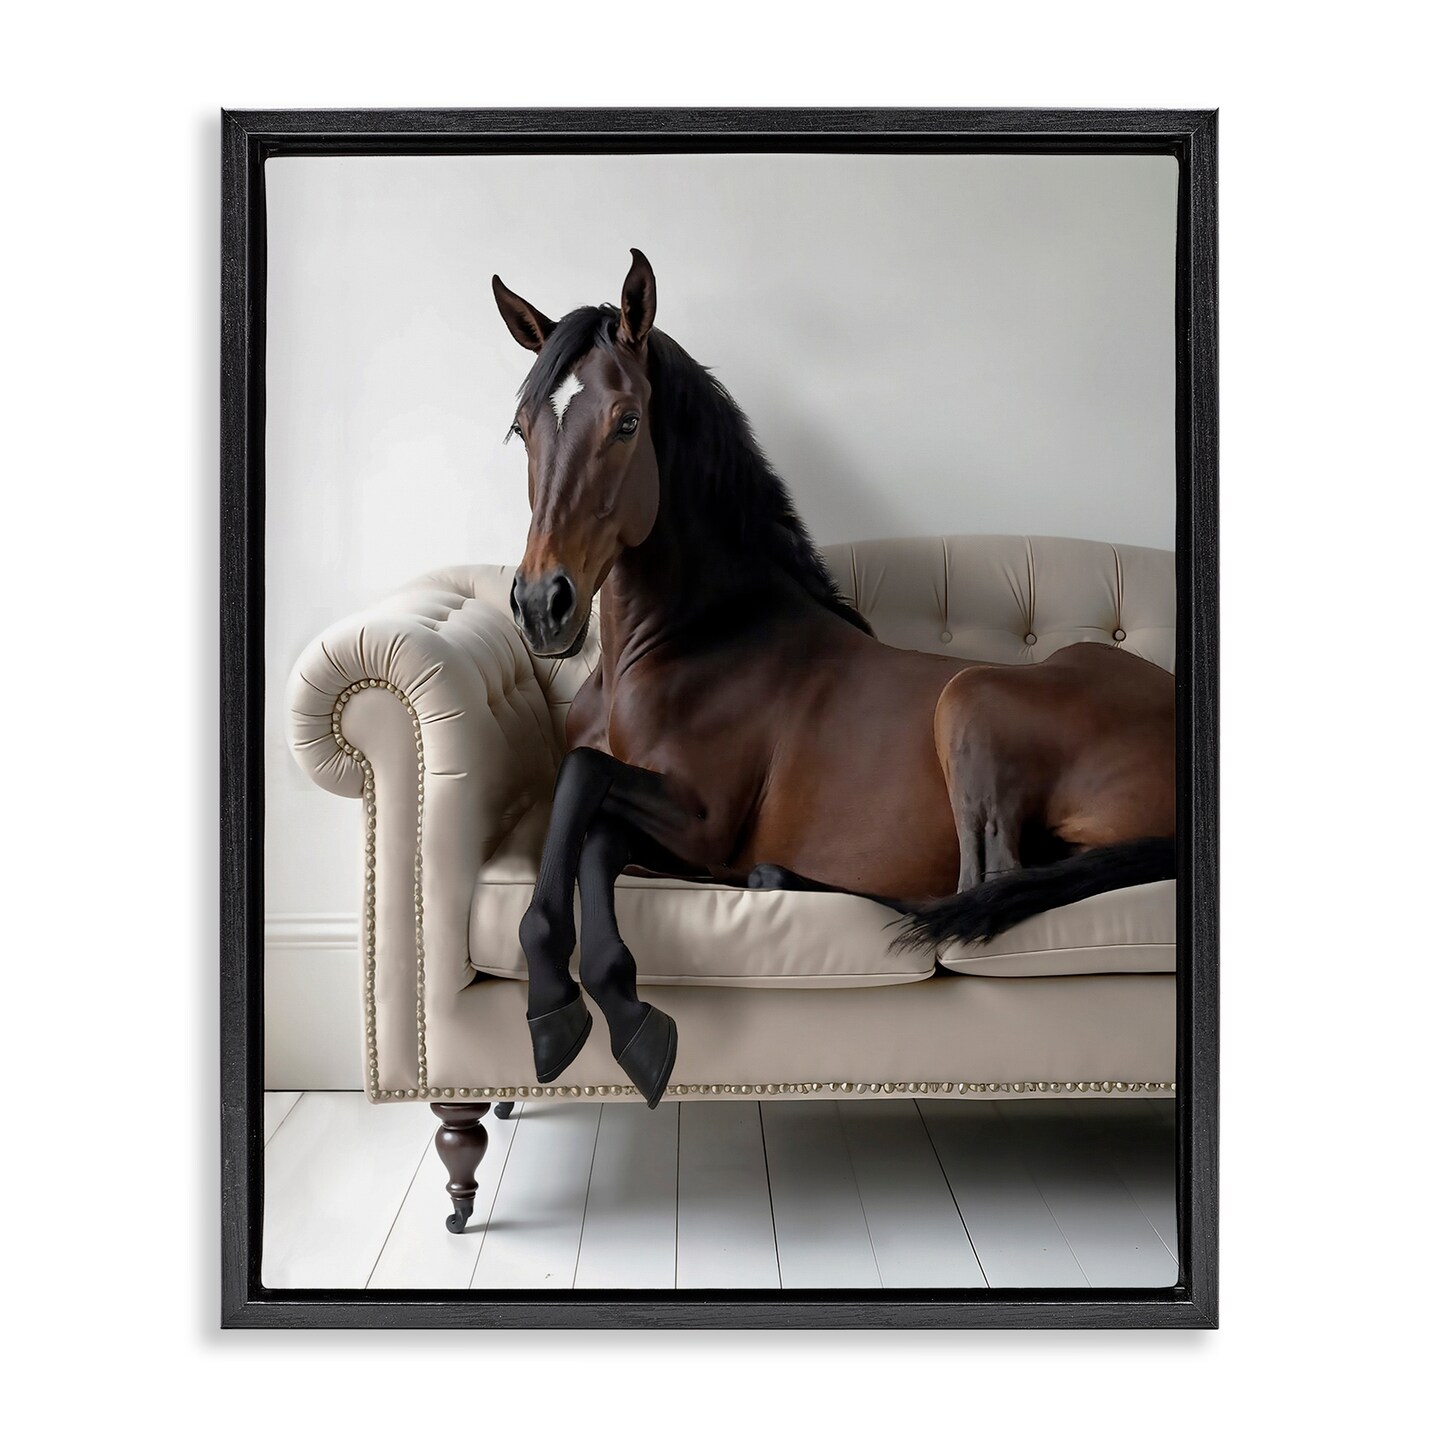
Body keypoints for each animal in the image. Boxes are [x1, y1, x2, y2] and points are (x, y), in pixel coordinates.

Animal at [492, 249, 1176, 1107]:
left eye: (626, 421)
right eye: (522, 429)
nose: (541, 605)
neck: (685, 641)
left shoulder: (701, 818)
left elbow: (582, 783)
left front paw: (586, 1005)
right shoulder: (666, 827)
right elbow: (587, 821)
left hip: (968, 701)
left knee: (977, 889)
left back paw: (772, 877)